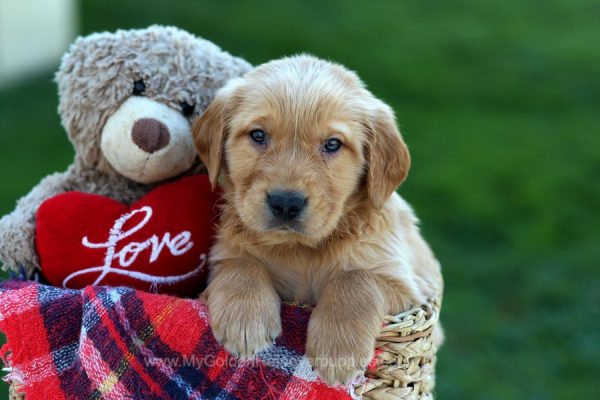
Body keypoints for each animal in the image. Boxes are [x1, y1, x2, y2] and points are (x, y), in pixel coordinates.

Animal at [192, 54, 440, 384]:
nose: (286, 203)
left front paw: (338, 350)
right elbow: (241, 263)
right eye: (258, 135)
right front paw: (244, 322)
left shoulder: (409, 290)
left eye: (333, 144)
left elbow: (355, 277)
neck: (302, 249)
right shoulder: (222, 255)